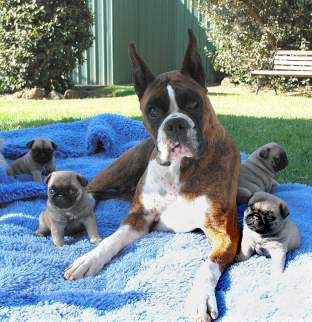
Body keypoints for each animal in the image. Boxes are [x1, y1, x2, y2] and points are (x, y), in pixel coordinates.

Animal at [62, 29, 239, 320]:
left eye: (193, 102)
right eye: (153, 111)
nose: (175, 124)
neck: (181, 169)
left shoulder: (224, 231)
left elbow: (208, 265)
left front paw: (201, 296)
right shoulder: (138, 217)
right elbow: (112, 239)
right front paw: (90, 258)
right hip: (121, 167)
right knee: (90, 191)